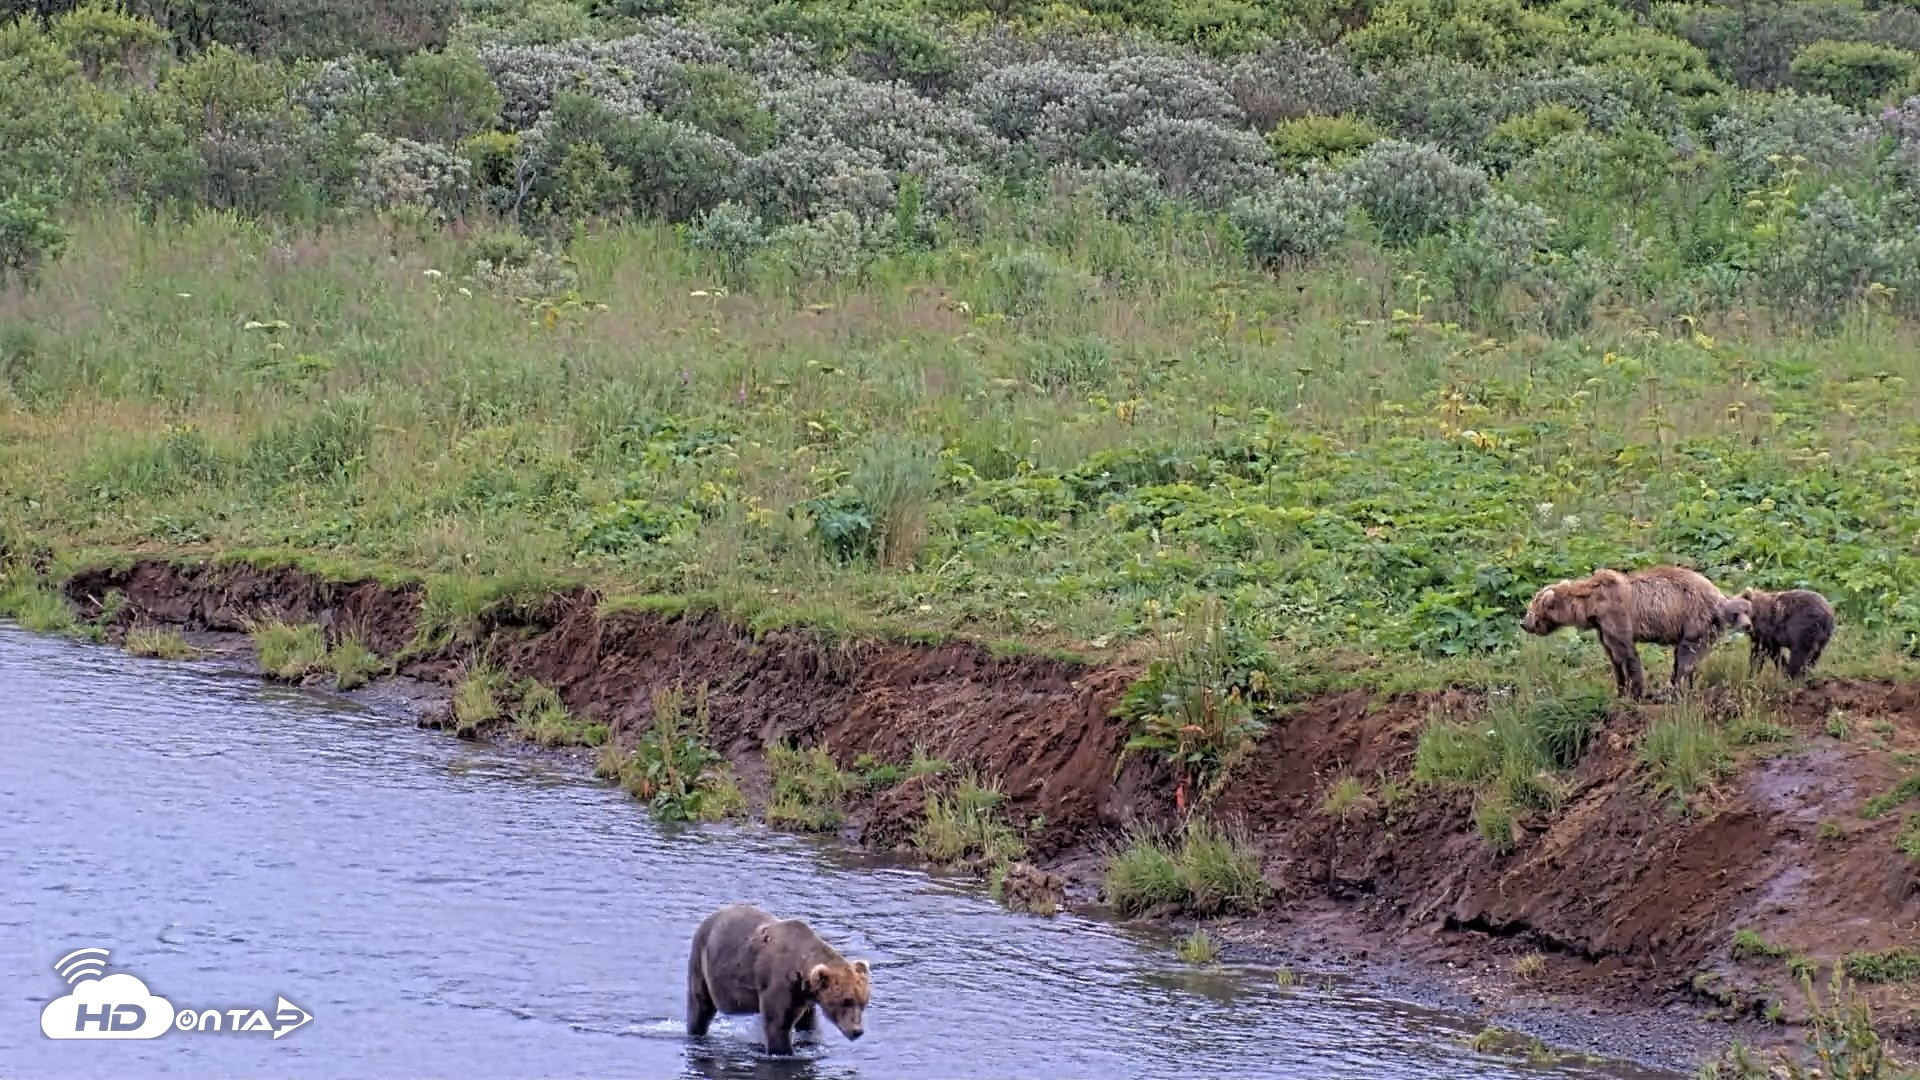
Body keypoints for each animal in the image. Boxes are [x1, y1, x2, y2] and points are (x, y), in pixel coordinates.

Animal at [685, 903, 870, 1056]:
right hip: (702, 961)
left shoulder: (804, 997)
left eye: (863, 1003)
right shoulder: (780, 984)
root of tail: (714, 914)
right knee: (700, 1004)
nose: (857, 1031)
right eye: (845, 1001)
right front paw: (784, 1051)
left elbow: (807, 1024)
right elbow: (778, 1025)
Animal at [1519, 565, 1748, 700]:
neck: (1590, 606)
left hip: (1695, 617)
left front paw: (1636, 691)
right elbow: (1613, 657)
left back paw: (1674, 689)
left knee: (1687, 654)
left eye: (1531, 608)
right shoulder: (1603, 628)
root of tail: (1720, 596)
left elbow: (1627, 653)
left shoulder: (1615, 613)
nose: (1524, 623)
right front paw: (1620, 689)